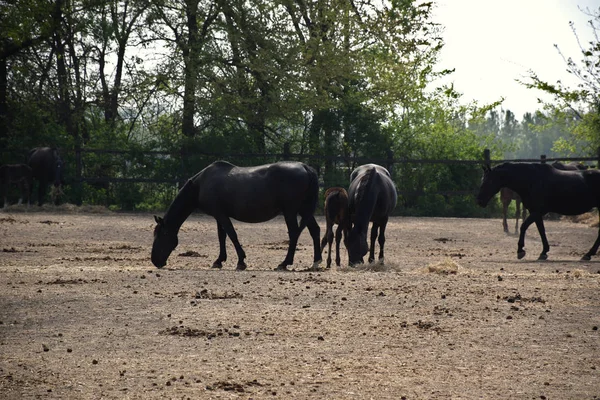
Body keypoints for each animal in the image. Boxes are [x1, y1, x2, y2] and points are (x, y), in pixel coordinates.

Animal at [151, 161, 324, 270]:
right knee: (315, 230)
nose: (155, 261)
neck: (200, 185)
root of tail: (305, 167)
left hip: (290, 211)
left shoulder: (221, 215)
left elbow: (232, 235)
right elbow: (222, 236)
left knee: (294, 233)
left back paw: (285, 263)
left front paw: (241, 261)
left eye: (161, 236)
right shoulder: (219, 215)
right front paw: (219, 261)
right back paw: (316, 262)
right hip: (304, 210)